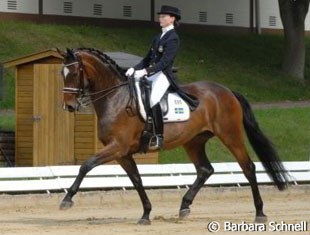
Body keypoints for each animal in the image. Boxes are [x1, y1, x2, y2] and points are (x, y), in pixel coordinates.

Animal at [57, 47, 290, 224]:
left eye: (75, 73)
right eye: (61, 74)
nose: (68, 106)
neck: (116, 97)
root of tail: (227, 91)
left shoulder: (117, 146)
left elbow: (86, 165)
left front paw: (67, 200)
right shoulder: (122, 153)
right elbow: (136, 180)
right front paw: (146, 214)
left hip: (230, 135)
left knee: (248, 167)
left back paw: (259, 212)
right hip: (193, 141)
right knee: (205, 169)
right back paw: (184, 206)